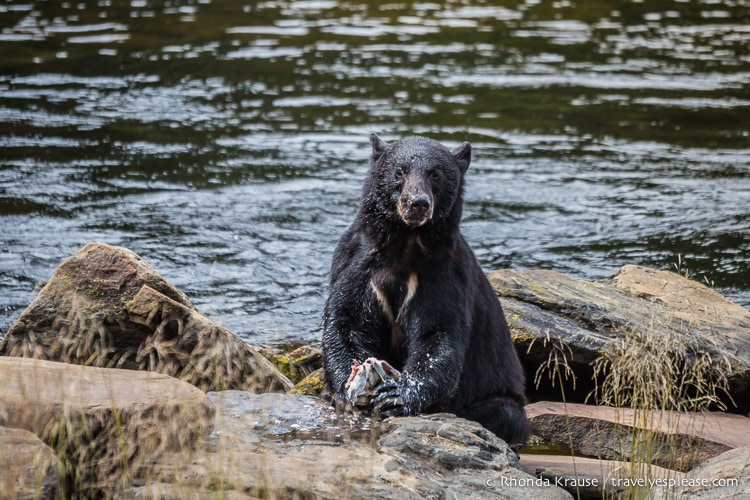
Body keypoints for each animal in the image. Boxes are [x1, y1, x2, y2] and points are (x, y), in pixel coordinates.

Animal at [326, 134, 532, 450]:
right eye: (399, 172)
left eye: (435, 174)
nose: (417, 203)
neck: (406, 242)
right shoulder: (358, 262)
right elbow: (347, 319)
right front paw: (348, 387)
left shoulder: (443, 274)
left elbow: (437, 334)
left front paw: (396, 396)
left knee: (505, 414)